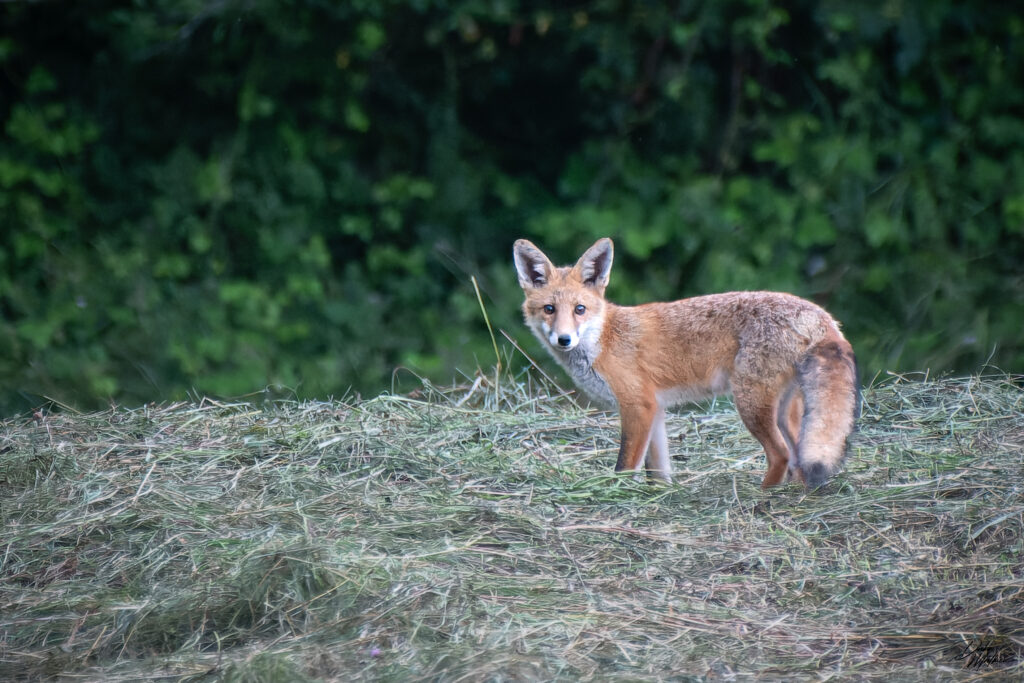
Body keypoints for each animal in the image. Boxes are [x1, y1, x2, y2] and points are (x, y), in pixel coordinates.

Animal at [513, 237, 859, 489]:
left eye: (580, 309)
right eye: (549, 309)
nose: (564, 340)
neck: (604, 339)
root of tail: (818, 313)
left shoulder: (637, 405)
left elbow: (625, 465)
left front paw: (616, 495)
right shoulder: (655, 409)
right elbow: (658, 469)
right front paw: (660, 495)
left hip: (750, 402)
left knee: (781, 455)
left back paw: (762, 496)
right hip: (786, 411)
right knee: (799, 456)